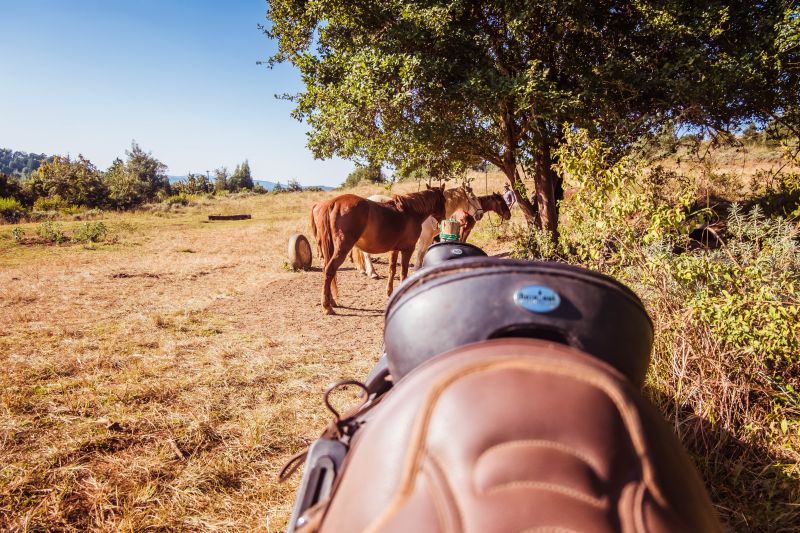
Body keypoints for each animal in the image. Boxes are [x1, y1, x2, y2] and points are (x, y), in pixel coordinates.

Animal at [310, 186, 446, 314]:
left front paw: (389, 292)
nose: (443, 218)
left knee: (326, 270)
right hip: (341, 249)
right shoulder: (408, 249)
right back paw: (327, 306)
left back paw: (331, 301)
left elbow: (392, 269)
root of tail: (333, 203)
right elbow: (403, 272)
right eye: (443, 200)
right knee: (329, 270)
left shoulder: (394, 250)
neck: (411, 212)